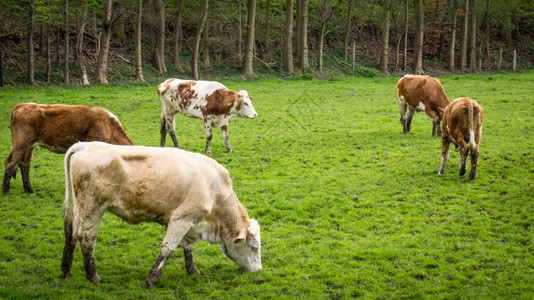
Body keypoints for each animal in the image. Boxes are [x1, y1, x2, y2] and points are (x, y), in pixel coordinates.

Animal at [3, 103, 133, 196]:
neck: (109, 127)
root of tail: (21, 105)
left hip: (30, 146)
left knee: (24, 164)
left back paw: (29, 190)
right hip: (21, 144)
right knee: (11, 163)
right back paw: (6, 191)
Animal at [60, 142, 262, 288]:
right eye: (254, 247)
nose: (258, 270)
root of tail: (85, 146)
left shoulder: (191, 223)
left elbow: (188, 247)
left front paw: (193, 271)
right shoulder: (181, 219)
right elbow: (168, 249)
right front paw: (152, 279)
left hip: (80, 209)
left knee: (72, 234)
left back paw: (66, 271)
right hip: (93, 209)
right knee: (87, 239)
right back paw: (93, 276)